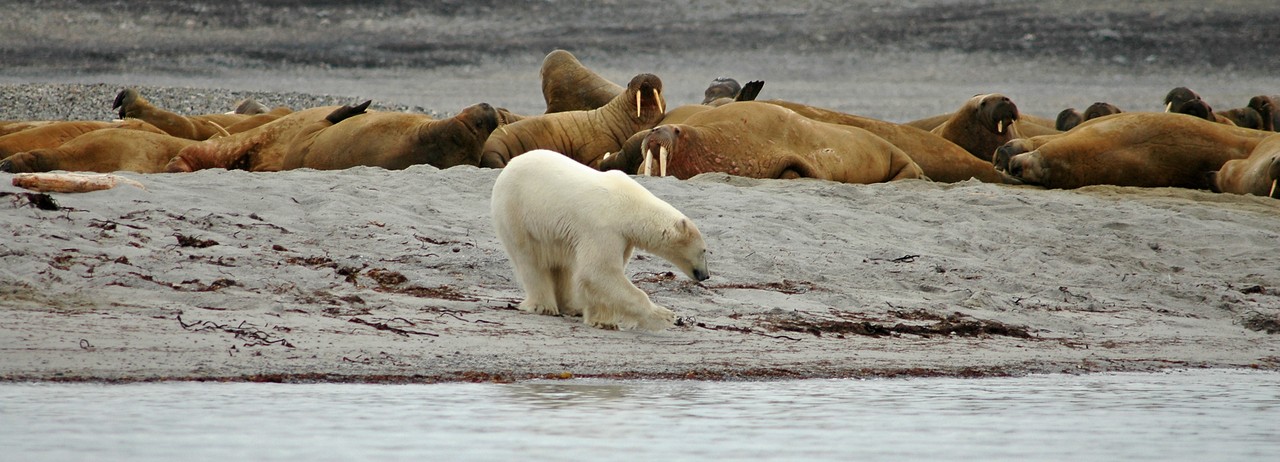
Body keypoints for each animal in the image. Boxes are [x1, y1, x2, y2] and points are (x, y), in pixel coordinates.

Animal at [490, 149, 710, 331]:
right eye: (704, 251)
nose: (706, 275)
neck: (630, 206)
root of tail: (509, 165)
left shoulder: (623, 237)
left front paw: (601, 319)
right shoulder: (603, 228)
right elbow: (600, 271)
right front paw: (664, 316)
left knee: (564, 266)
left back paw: (572, 306)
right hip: (517, 213)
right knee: (529, 259)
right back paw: (543, 306)